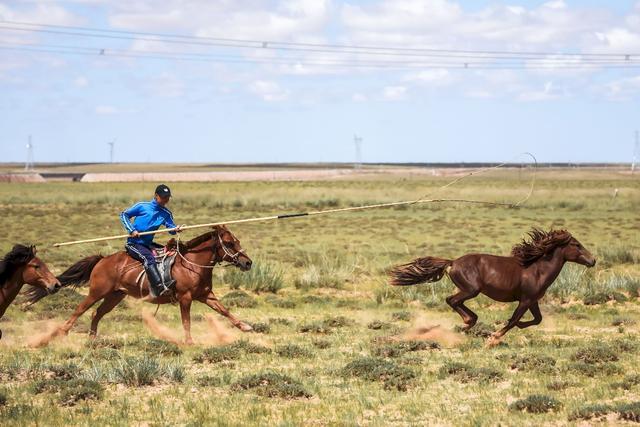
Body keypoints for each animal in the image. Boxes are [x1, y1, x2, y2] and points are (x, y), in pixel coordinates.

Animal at [25, 227, 255, 344]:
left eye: (237, 241)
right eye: (229, 243)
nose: (248, 263)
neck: (191, 263)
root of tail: (102, 259)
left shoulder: (206, 295)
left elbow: (225, 311)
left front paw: (245, 326)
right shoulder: (186, 298)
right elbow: (186, 321)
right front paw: (189, 342)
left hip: (115, 296)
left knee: (96, 313)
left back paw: (92, 339)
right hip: (97, 292)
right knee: (80, 309)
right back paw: (61, 332)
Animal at [388, 229, 596, 342]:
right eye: (577, 245)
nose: (592, 260)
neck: (537, 270)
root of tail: (452, 262)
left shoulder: (533, 301)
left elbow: (537, 319)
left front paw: (518, 326)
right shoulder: (525, 300)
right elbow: (513, 320)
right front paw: (494, 338)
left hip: (468, 290)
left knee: (454, 302)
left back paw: (468, 322)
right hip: (471, 290)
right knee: (452, 300)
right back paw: (467, 323)